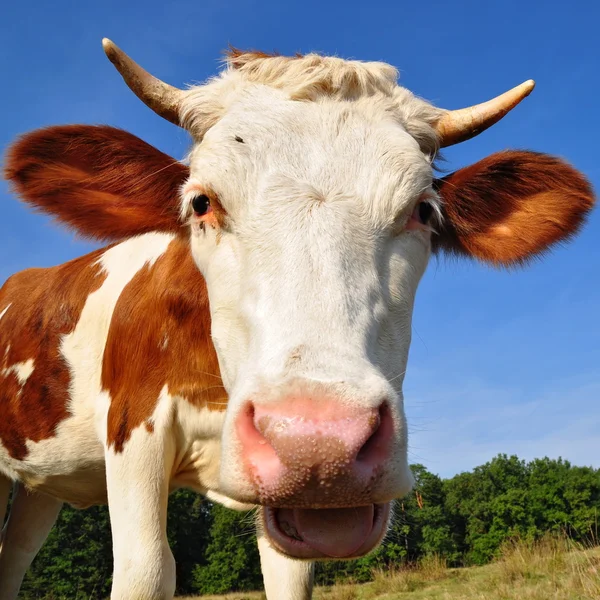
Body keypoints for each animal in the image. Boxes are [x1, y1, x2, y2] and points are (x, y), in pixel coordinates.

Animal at [0, 41, 592, 600]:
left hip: (38, 488)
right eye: (201, 203)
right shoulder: (133, 429)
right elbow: (146, 570)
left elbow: (288, 576)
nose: (318, 443)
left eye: (423, 210)